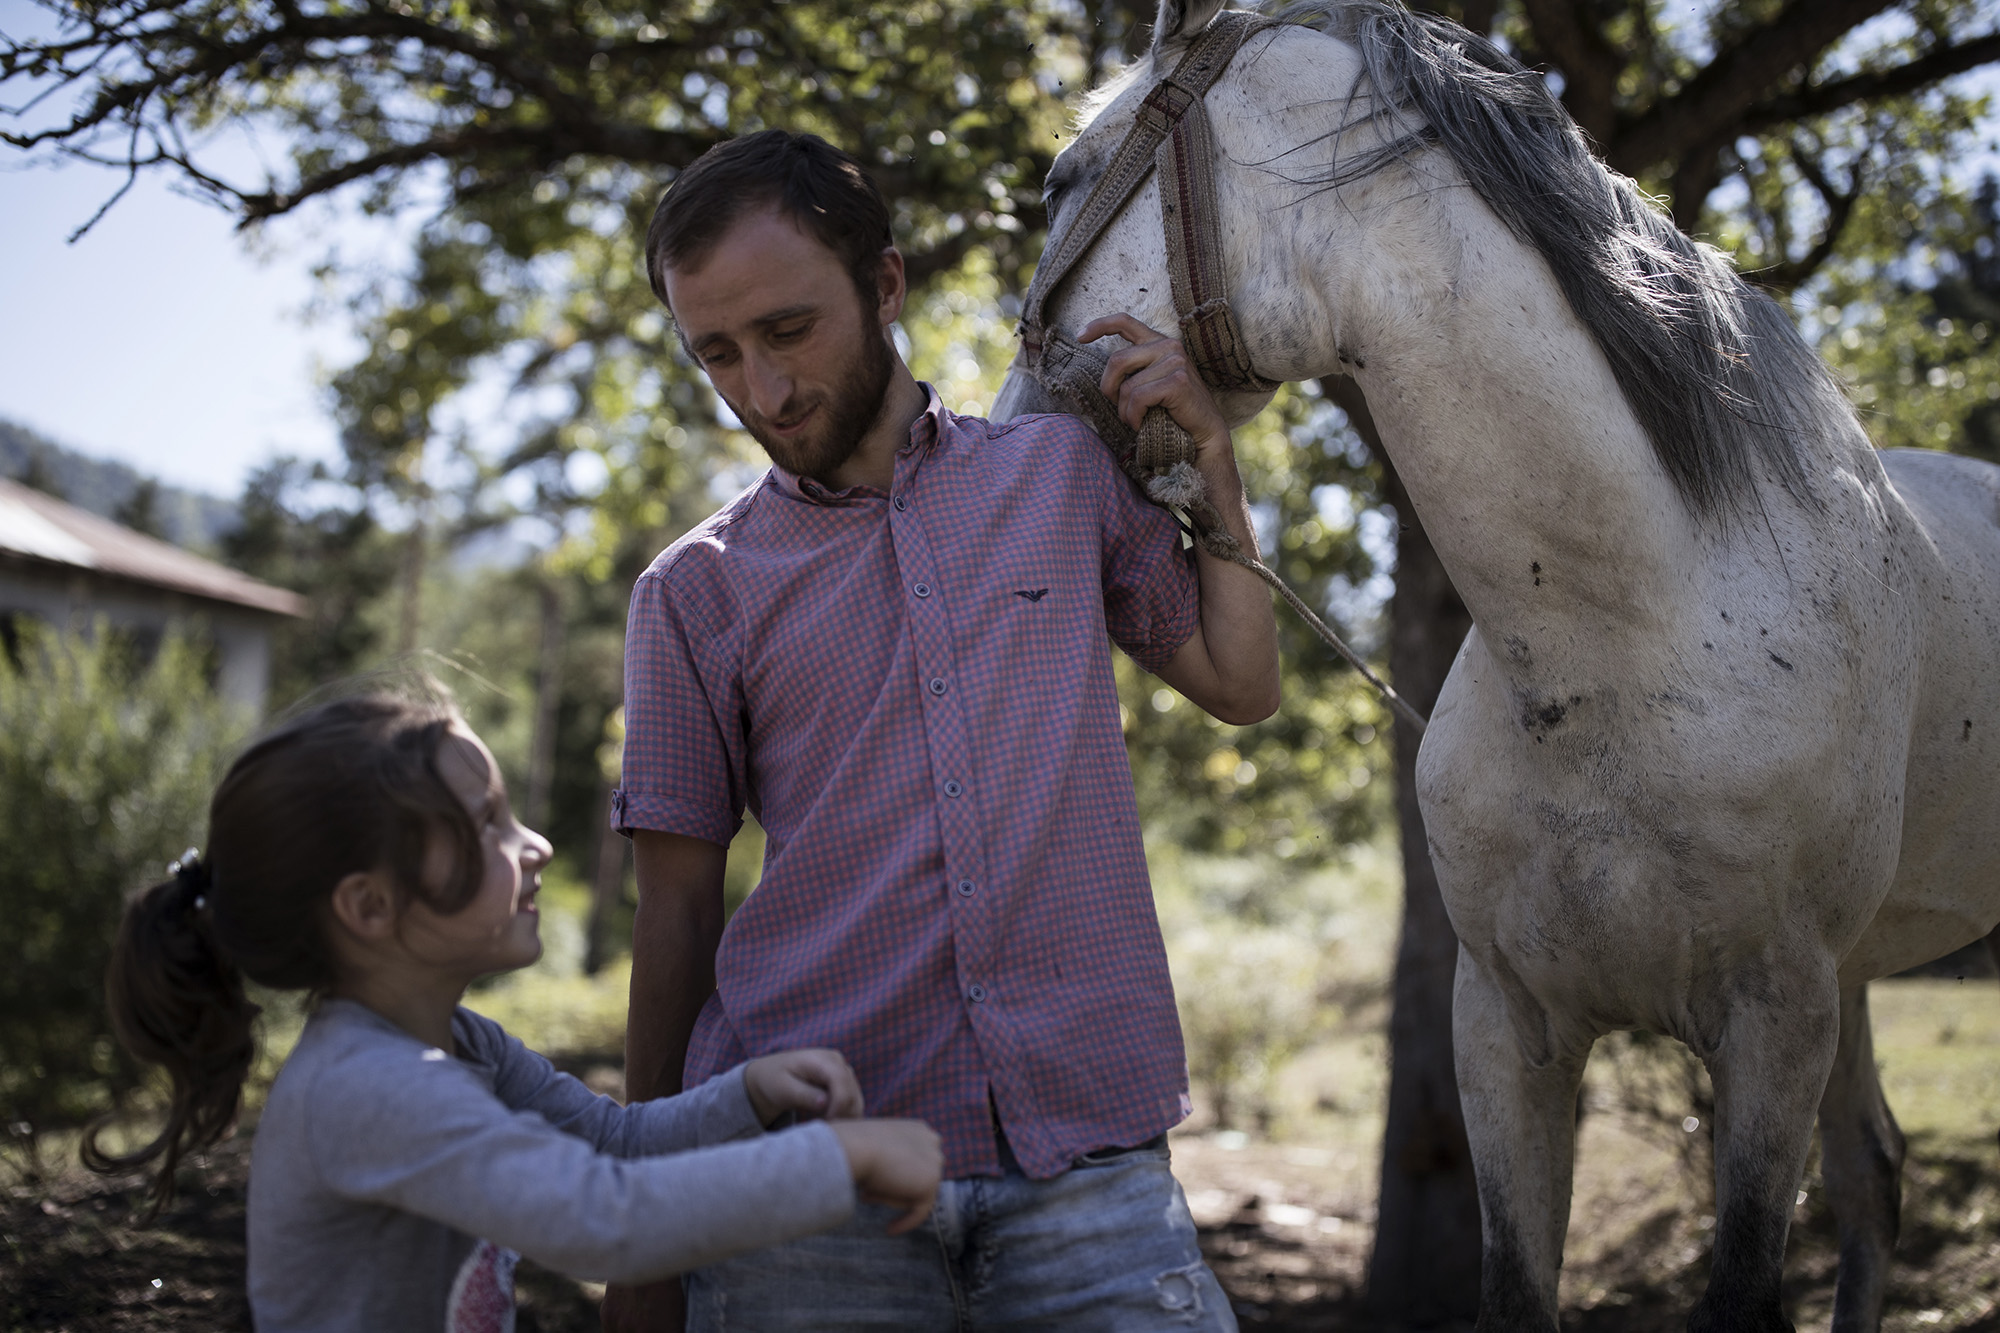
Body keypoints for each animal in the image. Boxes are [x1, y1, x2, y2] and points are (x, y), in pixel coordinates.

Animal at [996, 5, 2000, 1320]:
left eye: (1061, 177)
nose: (1000, 425)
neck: (1617, 654)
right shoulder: (1505, 1027)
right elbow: (1517, 1285)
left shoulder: (1774, 1024)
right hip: (1855, 985)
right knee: (1872, 1172)